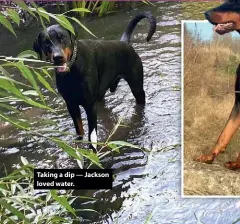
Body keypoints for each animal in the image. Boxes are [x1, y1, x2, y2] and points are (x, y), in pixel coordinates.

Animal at [33, 11, 157, 150]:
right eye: (46, 42)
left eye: (63, 37)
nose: (58, 57)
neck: (71, 72)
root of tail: (125, 43)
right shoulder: (71, 105)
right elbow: (79, 130)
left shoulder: (90, 105)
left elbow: (92, 136)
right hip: (100, 95)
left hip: (137, 88)